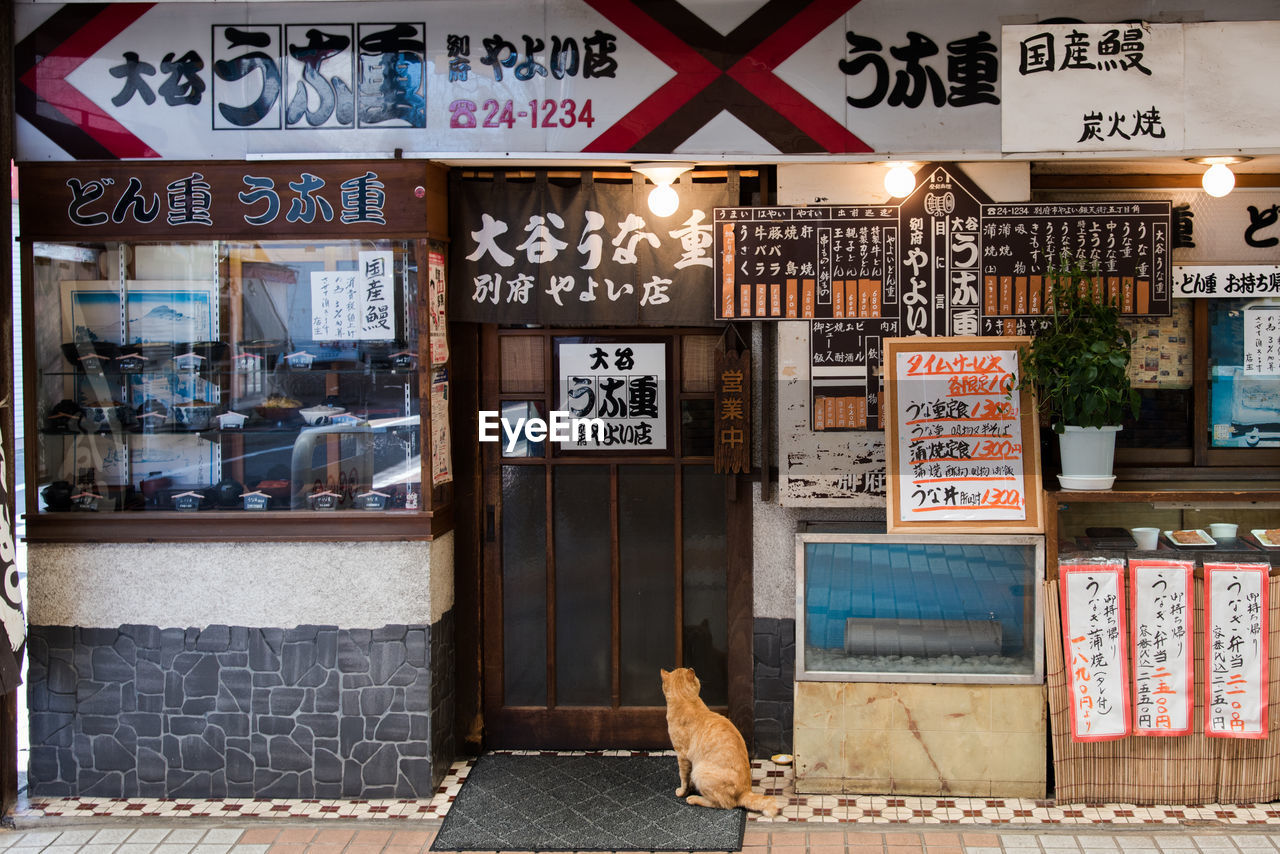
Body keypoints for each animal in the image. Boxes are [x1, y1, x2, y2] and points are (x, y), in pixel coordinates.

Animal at [660, 665, 778, 819]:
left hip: (700, 772)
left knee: (723, 804)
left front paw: (682, 791)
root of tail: (745, 791)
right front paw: (690, 787)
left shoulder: (682, 755)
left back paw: (694, 798)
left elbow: (683, 777)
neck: (686, 701)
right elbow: (687, 777)